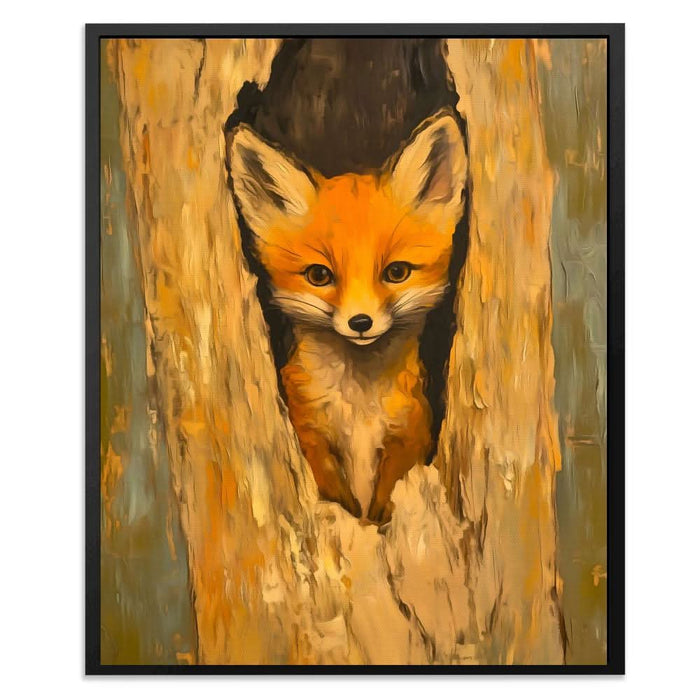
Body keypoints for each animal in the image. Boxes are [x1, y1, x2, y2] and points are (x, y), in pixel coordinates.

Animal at [225, 40, 469, 524]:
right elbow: (335, 493)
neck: (358, 412)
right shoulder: (311, 435)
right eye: (320, 275)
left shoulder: (407, 440)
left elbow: (381, 502)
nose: (360, 323)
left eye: (396, 272)